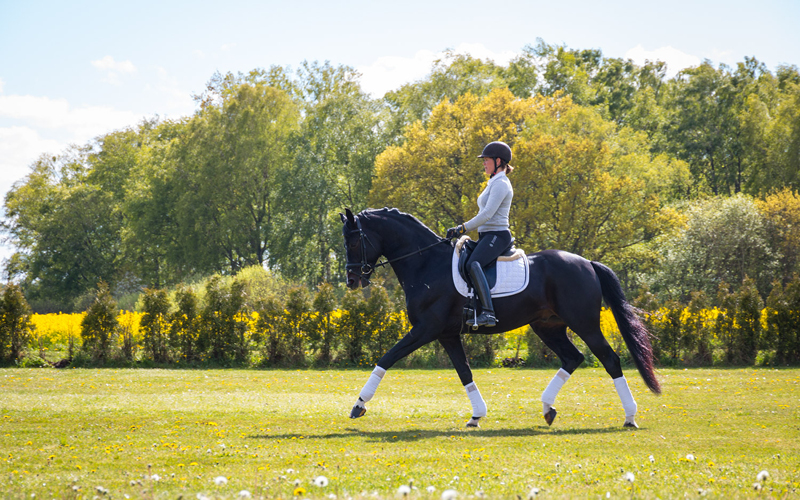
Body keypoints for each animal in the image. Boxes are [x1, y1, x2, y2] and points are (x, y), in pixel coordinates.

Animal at [340, 207, 660, 430]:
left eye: (354, 242)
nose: (352, 280)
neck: (426, 264)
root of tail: (587, 263)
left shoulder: (425, 329)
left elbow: (387, 357)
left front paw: (358, 405)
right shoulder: (446, 334)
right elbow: (464, 372)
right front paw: (476, 416)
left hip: (585, 324)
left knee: (609, 359)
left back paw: (630, 417)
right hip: (548, 326)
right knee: (573, 358)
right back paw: (548, 409)